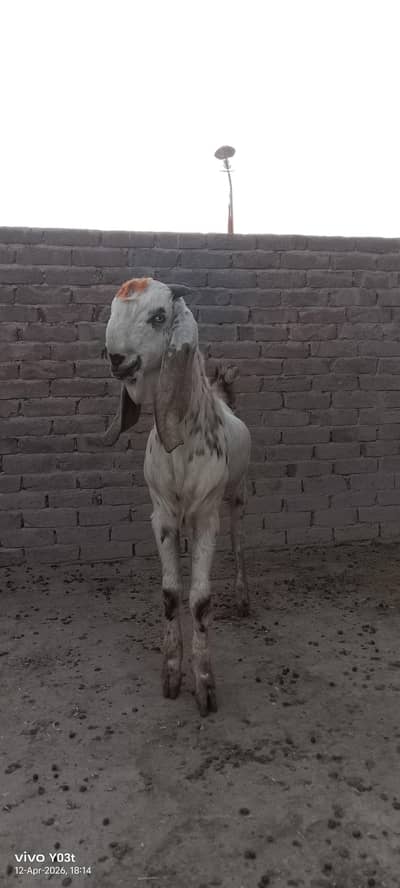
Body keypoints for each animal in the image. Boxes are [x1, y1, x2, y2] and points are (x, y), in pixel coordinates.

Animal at [104, 277, 251, 716]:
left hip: (237, 495)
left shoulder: (207, 516)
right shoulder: (163, 515)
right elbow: (170, 594)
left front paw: (205, 687)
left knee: (238, 543)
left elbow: (200, 600)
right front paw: (171, 675)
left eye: (158, 316)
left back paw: (243, 599)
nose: (116, 358)